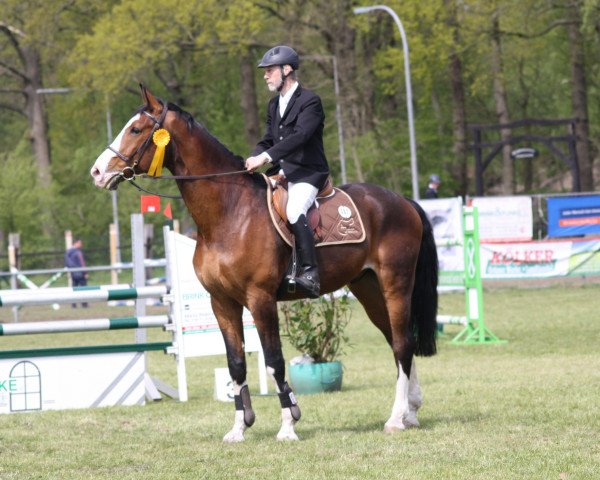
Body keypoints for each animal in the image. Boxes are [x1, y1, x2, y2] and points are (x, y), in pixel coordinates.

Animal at [90, 86, 436, 442]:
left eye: (135, 129)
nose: (97, 172)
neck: (229, 212)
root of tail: (402, 201)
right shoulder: (222, 302)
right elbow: (236, 364)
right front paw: (239, 428)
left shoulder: (260, 299)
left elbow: (274, 361)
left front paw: (288, 425)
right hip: (368, 288)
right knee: (398, 342)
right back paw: (411, 412)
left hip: (396, 283)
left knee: (402, 342)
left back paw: (396, 418)